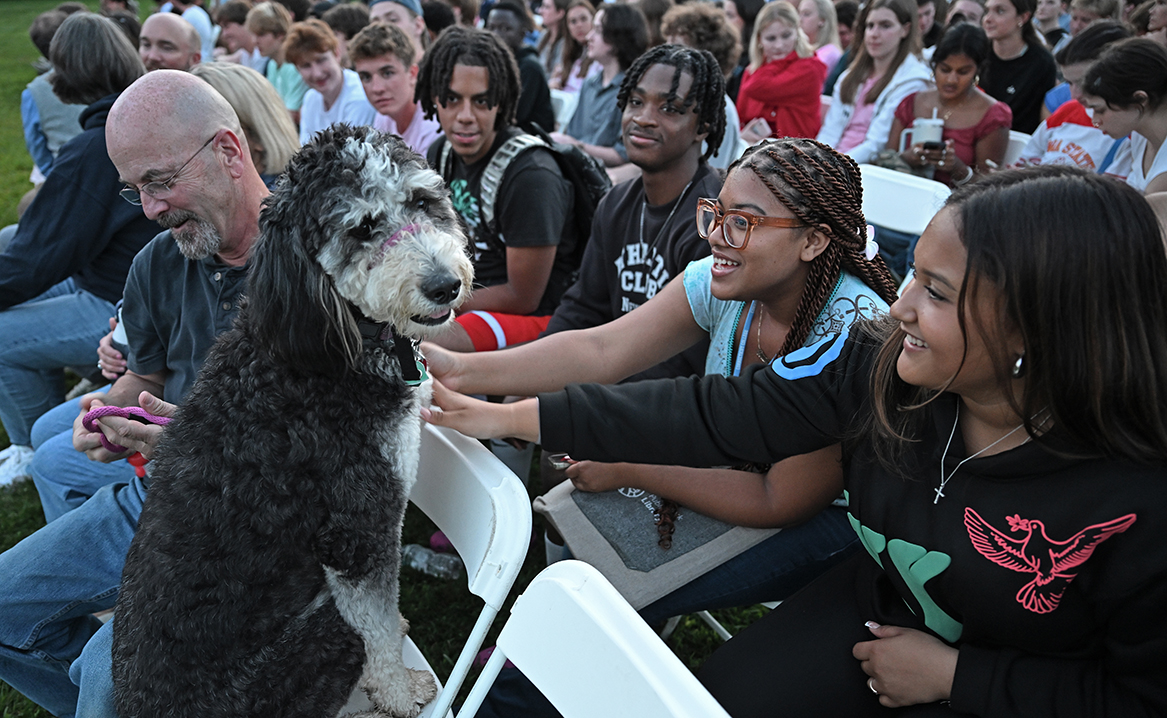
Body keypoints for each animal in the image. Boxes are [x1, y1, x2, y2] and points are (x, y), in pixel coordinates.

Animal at [109, 124, 473, 718]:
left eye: (422, 201)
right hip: (320, 635)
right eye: (363, 228)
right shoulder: (356, 528)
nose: (445, 285)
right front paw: (399, 692)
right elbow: (376, 627)